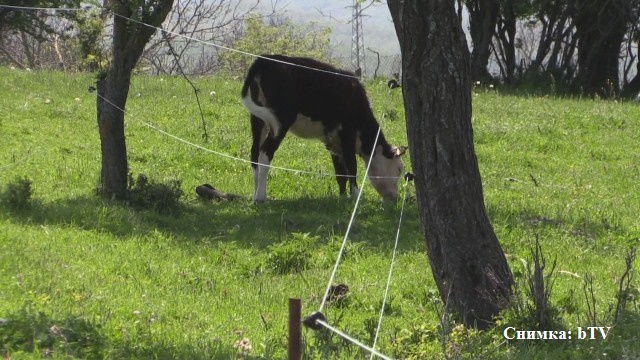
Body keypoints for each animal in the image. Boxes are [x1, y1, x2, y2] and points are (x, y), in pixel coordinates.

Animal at [240, 54, 404, 204]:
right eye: (399, 169)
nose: (395, 198)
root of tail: (263, 59)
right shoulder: (347, 132)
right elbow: (352, 166)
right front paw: (356, 196)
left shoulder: (332, 142)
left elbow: (340, 172)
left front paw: (342, 196)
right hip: (281, 121)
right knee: (265, 153)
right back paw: (261, 197)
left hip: (258, 119)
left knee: (254, 154)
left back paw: (255, 195)